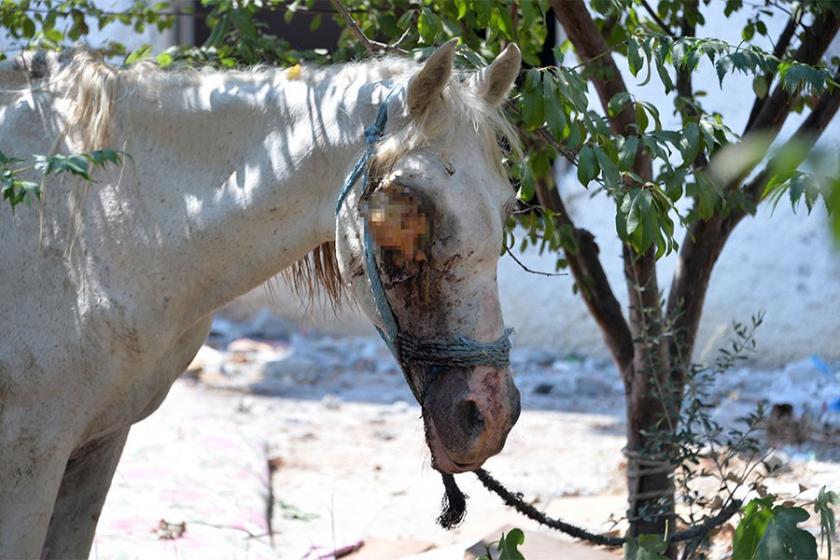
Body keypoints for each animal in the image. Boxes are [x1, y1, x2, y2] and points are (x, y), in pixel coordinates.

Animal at [0, 41, 520, 556]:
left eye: (507, 204)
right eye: (405, 204)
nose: (489, 416)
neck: (101, 222)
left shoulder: (100, 444)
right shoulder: (30, 457)